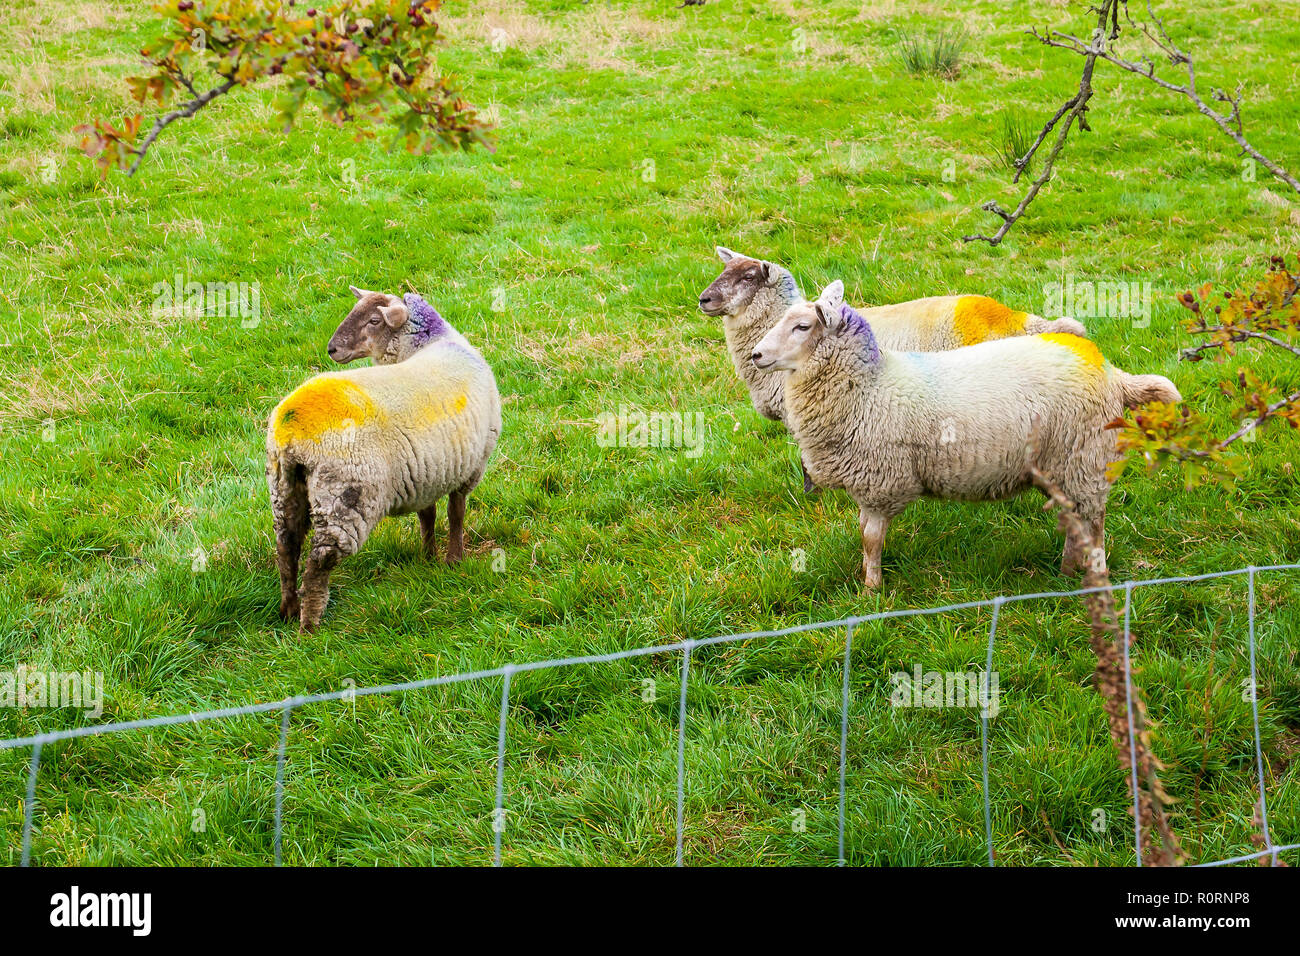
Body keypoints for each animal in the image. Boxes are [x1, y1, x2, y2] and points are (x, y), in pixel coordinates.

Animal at [266, 287, 502, 631]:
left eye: (374, 320)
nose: (332, 348)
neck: (432, 343)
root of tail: (291, 432)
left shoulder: (427, 472)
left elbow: (429, 515)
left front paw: (429, 557)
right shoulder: (469, 466)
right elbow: (456, 513)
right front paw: (454, 560)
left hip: (284, 487)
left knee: (286, 546)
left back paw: (288, 609)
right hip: (347, 496)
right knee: (320, 560)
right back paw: (309, 625)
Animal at [750, 280, 1180, 588]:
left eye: (802, 326)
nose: (756, 355)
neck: (869, 386)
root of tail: (1113, 373)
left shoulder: (883, 483)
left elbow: (871, 539)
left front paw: (872, 591)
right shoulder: (868, 484)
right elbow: (862, 534)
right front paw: (867, 581)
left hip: (1084, 462)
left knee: (1094, 525)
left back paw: (1091, 576)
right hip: (1065, 468)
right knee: (1076, 522)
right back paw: (1066, 572)